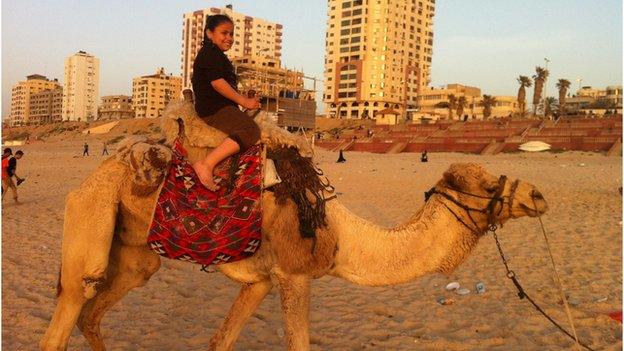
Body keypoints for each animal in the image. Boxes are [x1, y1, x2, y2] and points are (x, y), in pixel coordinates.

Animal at [40, 102, 544, 351]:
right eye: (487, 184)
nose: (537, 196)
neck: (341, 235)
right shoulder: (294, 273)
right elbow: (298, 343)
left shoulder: (261, 280)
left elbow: (220, 340)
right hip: (91, 215)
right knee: (68, 313)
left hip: (135, 256)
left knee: (92, 314)